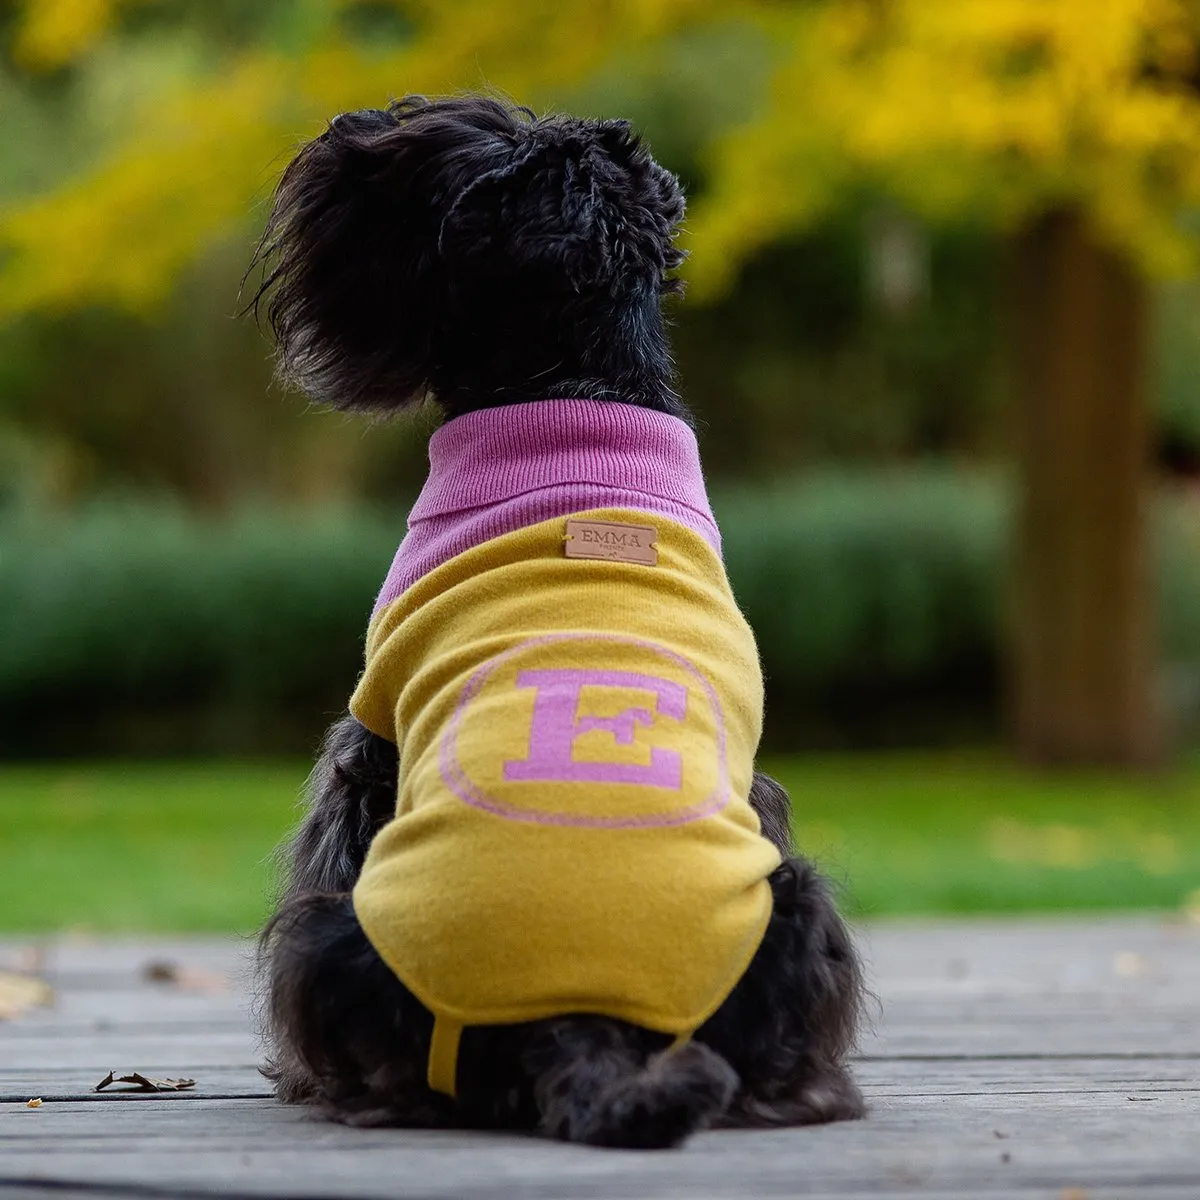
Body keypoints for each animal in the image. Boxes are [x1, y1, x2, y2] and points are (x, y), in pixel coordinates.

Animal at [250, 96, 864, 1152]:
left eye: (434, 157)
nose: (344, 130)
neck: (580, 389)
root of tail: (582, 1007)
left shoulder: (367, 737)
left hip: (340, 927)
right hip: (792, 900)